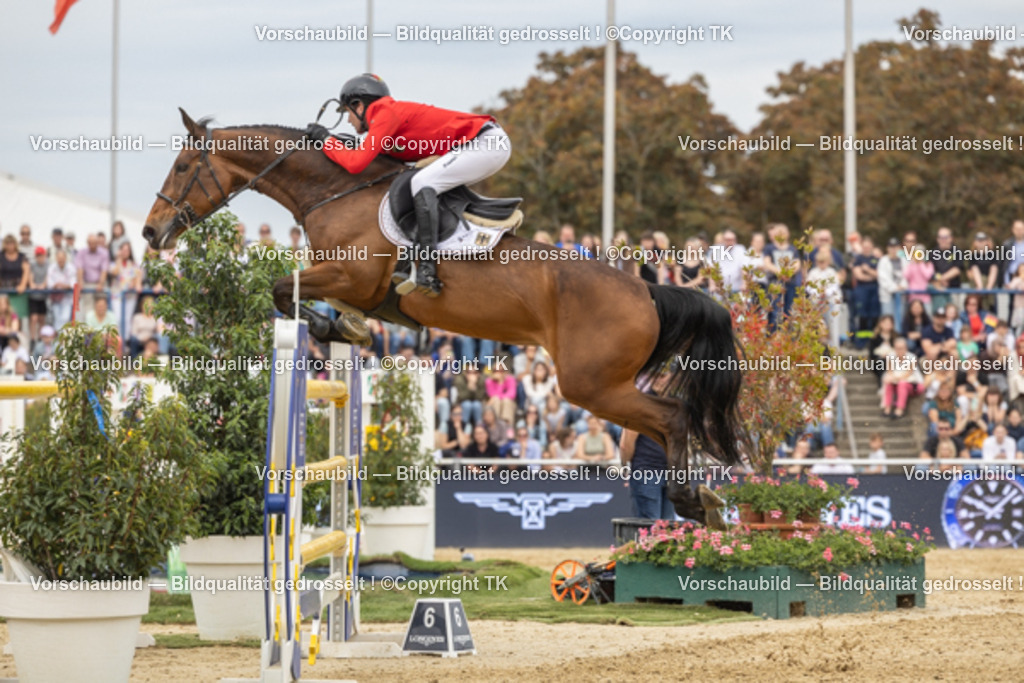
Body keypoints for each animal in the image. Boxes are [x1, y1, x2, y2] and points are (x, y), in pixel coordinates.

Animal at [143, 109, 746, 525]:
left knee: (671, 416)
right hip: (602, 384)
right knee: (667, 420)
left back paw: (692, 499)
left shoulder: (350, 277)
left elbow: (280, 290)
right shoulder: (349, 284)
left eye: (182, 167)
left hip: (588, 384)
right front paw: (347, 327)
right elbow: (301, 297)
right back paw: (700, 500)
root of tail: (645, 290)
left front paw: (335, 327)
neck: (334, 191)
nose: (151, 232)